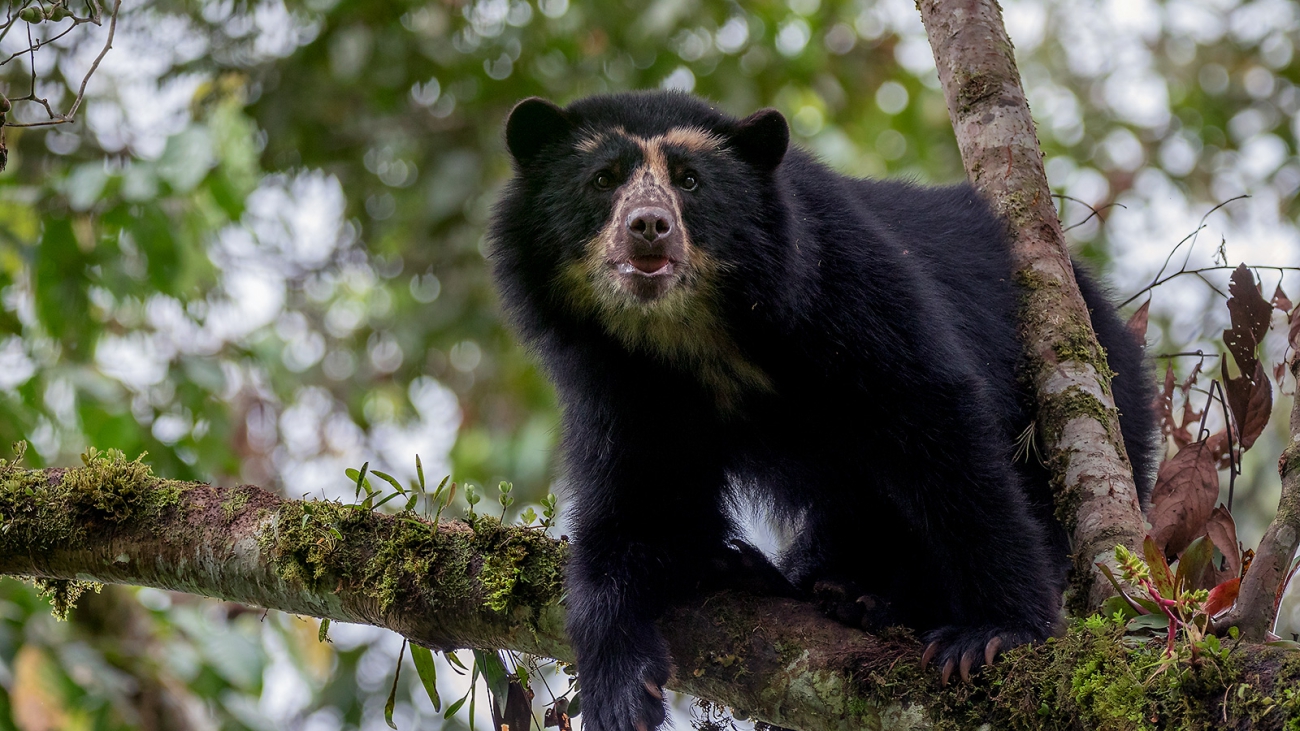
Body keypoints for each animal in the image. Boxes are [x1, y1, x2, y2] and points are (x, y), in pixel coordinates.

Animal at [488, 91, 1156, 731]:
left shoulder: (839, 281)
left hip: (1093, 381)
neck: (694, 331)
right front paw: (621, 691)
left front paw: (992, 634)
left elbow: (936, 428)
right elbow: (637, 503)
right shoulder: (620, 380)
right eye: (602, 179)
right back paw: (765, 573)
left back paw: (868, 599)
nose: (648, 227)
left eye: (690, 181)